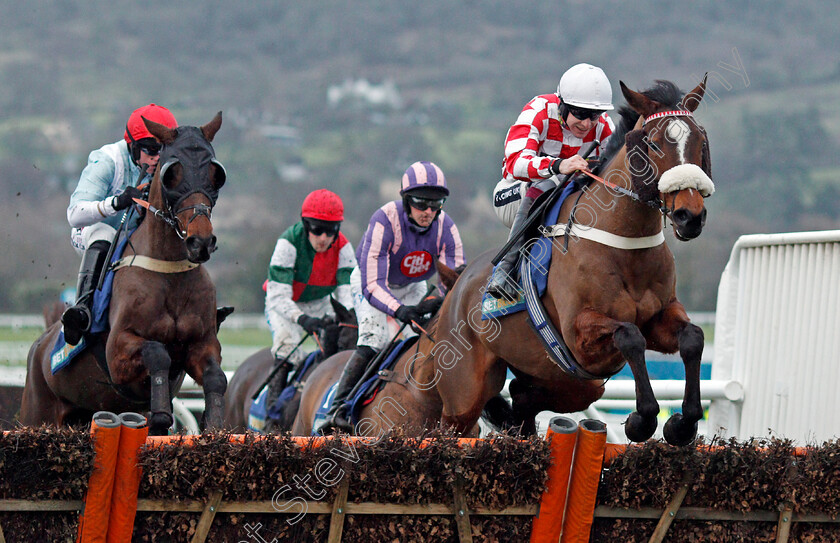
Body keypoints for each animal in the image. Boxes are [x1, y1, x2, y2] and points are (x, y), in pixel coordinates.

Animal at [21, 112, 228, 436]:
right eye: (172, 172)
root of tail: (39, 345)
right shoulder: (117, 352)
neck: (169, 272)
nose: (201, 242)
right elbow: (157, 352)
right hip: (36, 411)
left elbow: (216, 376)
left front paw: (214, 426)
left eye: (214, 172)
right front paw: (160, 415)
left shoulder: (201, 343)